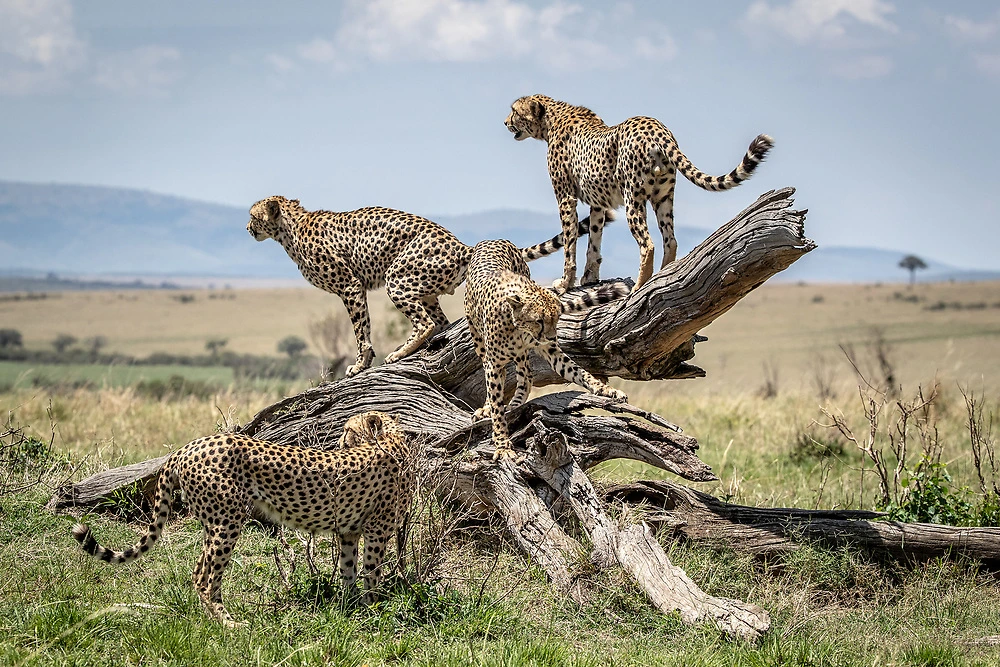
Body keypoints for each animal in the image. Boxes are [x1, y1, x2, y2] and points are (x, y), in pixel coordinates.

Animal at [72, 412, 412, 628]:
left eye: (348, 431)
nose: (339, 443)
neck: (393, 438)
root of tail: (188, 447)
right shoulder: (377, 529)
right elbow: (371, 573)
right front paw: (373, 609)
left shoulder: (350, 531)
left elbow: (349, 570)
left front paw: (350, 608)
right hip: (227, 522)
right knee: (205, 577)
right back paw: (228, 623)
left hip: (214, 523)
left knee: (198, 571)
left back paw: (212, 619)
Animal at [248, 197, 600, 376]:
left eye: (253, 215)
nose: (248, 228)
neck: (289, 228)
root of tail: (462, 247)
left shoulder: (350, 286)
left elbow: (361, 331)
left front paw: (361, 363)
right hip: (427, 288)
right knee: (441, 322)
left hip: (397, 277)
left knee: (427, 322)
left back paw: (398, 353)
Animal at [464, 237, 628, 462]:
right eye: (539, 320)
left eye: (557, 318)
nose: (551, 336)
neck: (520, 329)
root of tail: (494, 239)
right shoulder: (494, 364)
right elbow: (496, 405)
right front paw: (503, 445)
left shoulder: (551, 350)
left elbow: (578, 371)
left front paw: (606, 390)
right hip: (478, 339)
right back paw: (494, 407)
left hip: (520, 355)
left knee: (526, 375)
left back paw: (515, 403)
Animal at [504, 96, 776, 292]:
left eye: (514, 111)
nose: (505, 122)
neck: (551, 119)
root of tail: (657, 128)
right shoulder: (598, 203)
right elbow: (594, 240)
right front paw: (589, 277)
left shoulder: (565, 199)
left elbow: (570, 241)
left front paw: (565, 283)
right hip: (663, 197)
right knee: (670, 239)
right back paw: (665, 276)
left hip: (633, 198)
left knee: (648, 244)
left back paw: (639, 285)